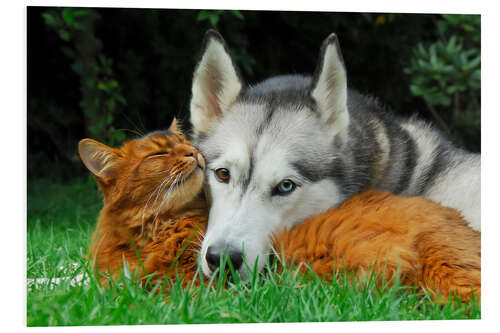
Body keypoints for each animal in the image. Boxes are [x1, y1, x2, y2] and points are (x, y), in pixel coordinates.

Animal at [79, 120, 480, 300]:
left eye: (184, 143)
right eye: (160, 153)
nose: (194, 153)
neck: (146, 233)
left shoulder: (194, 287)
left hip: (451, 275)